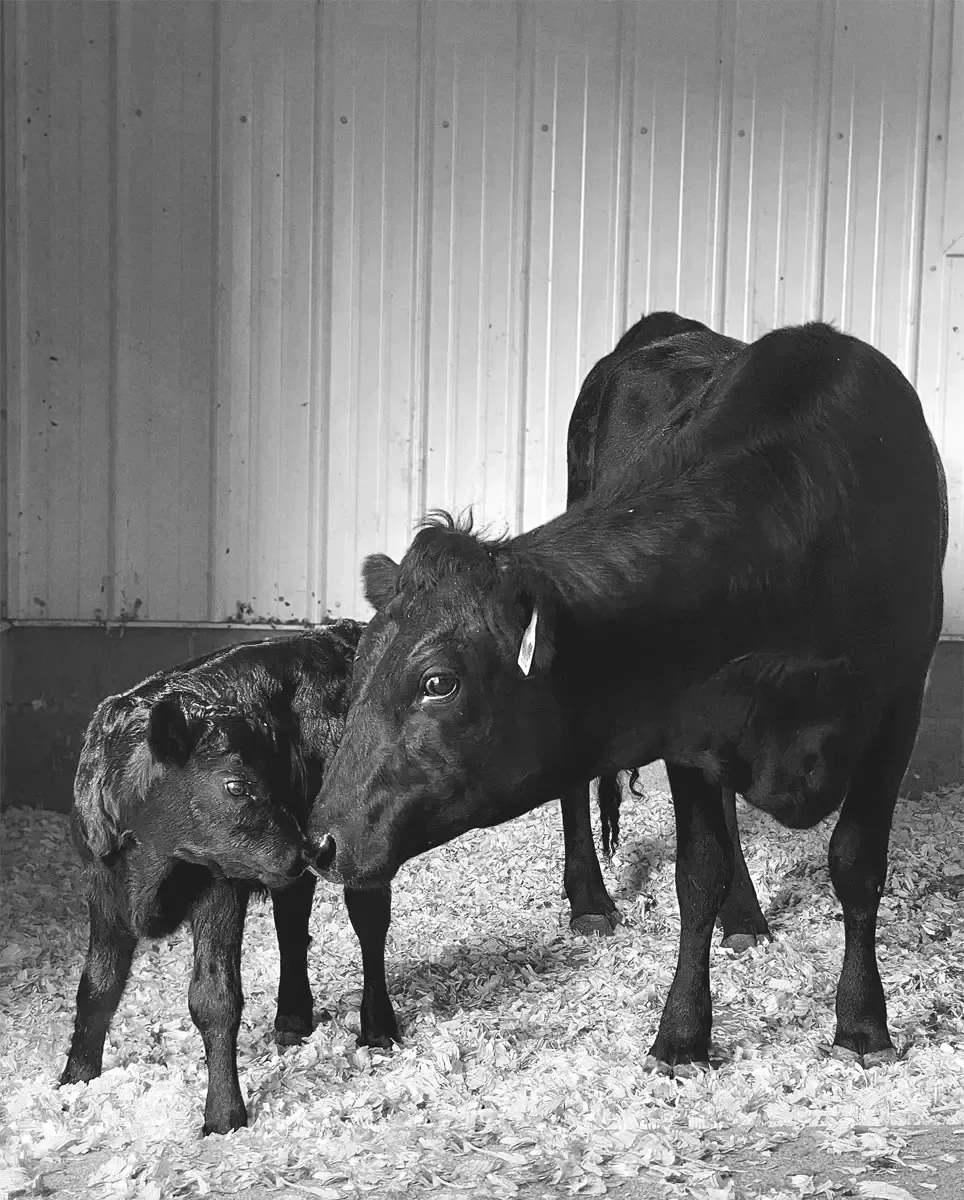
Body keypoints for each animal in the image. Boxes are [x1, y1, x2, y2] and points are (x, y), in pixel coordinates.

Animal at [60, 623, 399, 1135]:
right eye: (237, 784)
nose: (302, 850)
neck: (154, 860)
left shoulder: (219, 885)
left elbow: (214, 998)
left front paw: (223, 1113)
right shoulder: (102, 884)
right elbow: (97, 985)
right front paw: (75, 1079)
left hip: (357, 838)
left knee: (370, 925)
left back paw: (377, 1027)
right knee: (292, 924)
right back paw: (292, 1019)